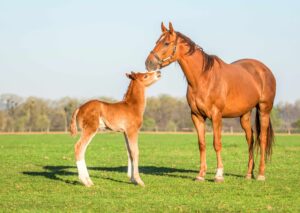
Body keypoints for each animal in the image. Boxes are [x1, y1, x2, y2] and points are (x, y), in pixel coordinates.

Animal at [146, 22, 276, 181]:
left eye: (166, 43)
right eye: (156, 42)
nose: (149, 63)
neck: (203, 78)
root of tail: (264, 69)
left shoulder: (216, 116)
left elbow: (217, 143)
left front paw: (218, 174)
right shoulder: (196, 116)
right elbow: (202, 144)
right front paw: (201, 174)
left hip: (264, 110)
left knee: (262, 139)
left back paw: (261, 174)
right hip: (244, 115)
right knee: (250, 139)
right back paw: (248, 173)